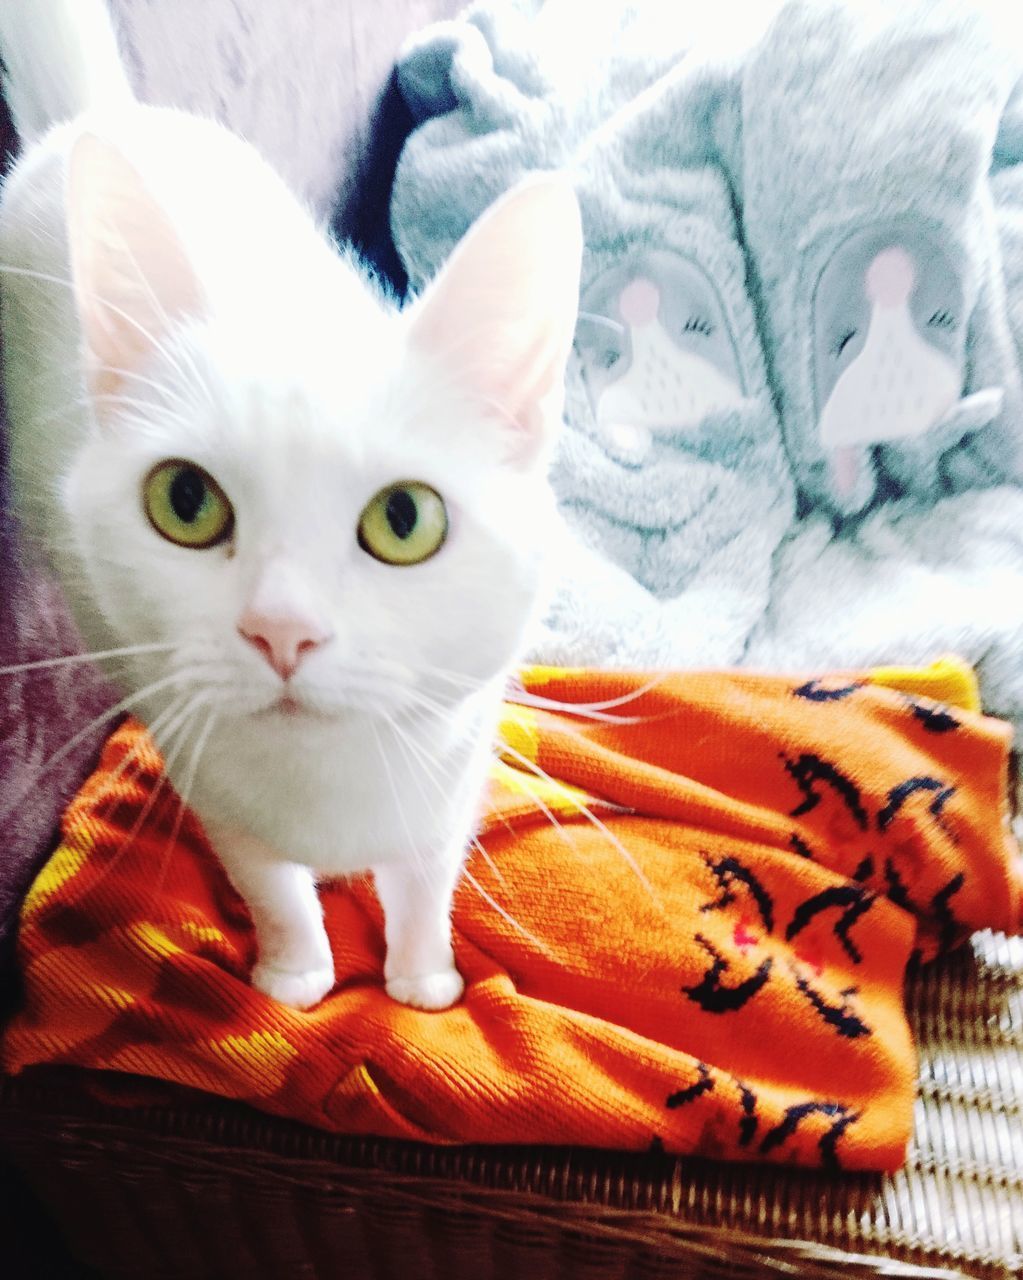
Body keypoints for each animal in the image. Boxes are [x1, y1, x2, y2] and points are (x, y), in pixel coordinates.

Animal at [0, 0, 583, 1008]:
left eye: (404, 520)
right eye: (185, 501)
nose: (281, 630)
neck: (327, 784)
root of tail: (93, 122)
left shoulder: (451, 783)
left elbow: (425, 885)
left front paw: (421, 979)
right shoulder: (209, 783)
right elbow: (271, 887)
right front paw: (295, 975)